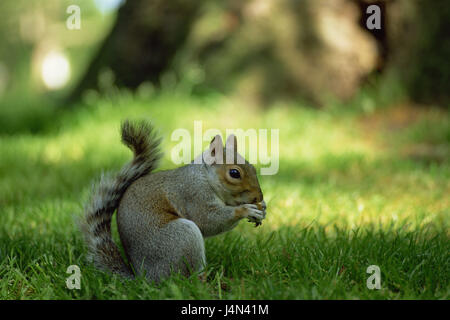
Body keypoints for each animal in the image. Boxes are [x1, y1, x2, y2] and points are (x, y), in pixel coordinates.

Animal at [81, 120, 266, 282]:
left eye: (252, 167)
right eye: (234, 173)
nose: (259, 197)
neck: (205, 177)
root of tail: (145, 278)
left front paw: (261, 209)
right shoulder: (194, 194)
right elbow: (208, 220)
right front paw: (246, 210)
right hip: (182, 238)